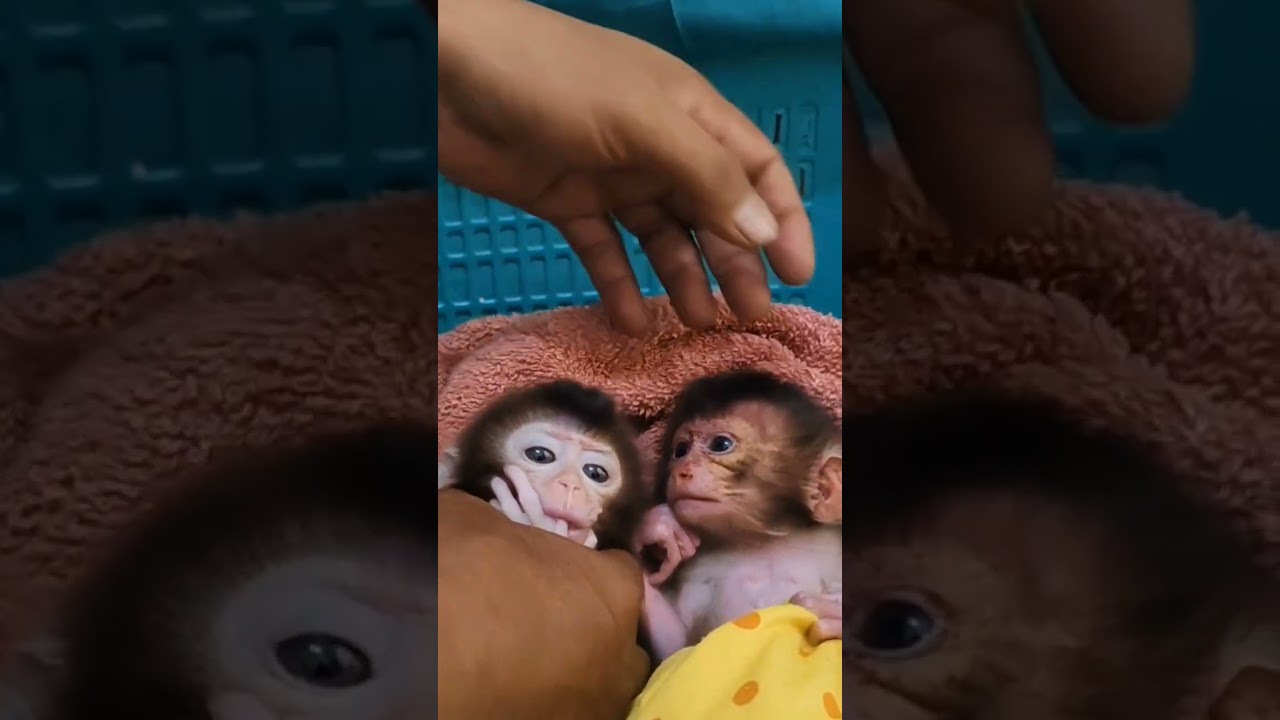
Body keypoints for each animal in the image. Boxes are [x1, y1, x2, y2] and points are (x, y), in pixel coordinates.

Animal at [633, 369, 843, 662]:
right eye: (681, 450)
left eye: (720, 444)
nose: (680, 471)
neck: (762, 545)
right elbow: (676, 647)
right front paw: (656, 527)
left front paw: (835, 617)